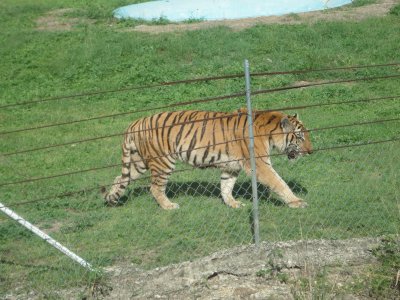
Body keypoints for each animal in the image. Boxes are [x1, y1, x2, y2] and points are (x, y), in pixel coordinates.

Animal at [101, 109, 314, 210]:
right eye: (300, 137)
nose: (311, 151)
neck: (269, 132)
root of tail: (136, 122)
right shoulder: (261, 164)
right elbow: (279, 183)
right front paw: (297, 202)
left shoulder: (231, 167)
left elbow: (226, 187)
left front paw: (233, 204)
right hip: (162, 162)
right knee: (155, 188)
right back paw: (169, 206)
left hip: (138, 163)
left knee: (119, 179)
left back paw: (112, 200)